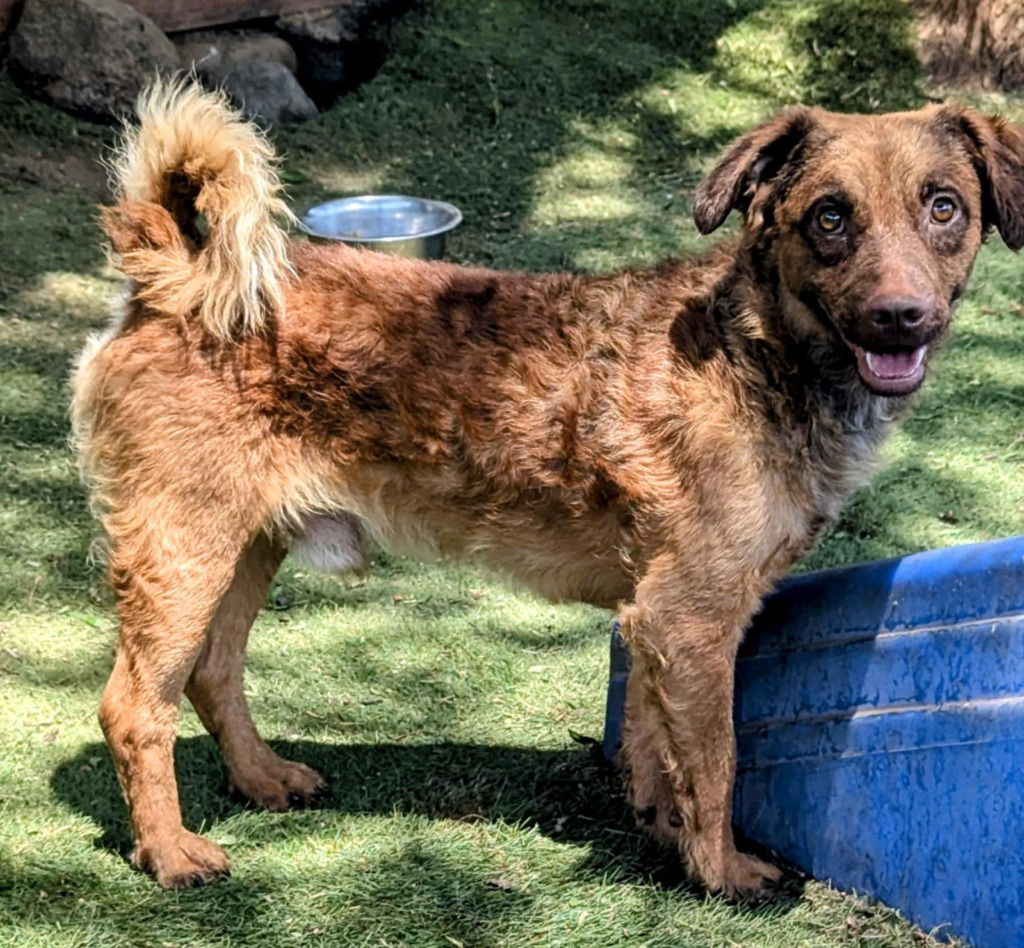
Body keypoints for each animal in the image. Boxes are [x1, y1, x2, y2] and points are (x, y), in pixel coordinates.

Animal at [72, 83, 1024, 896]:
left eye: (944, 206)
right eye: (830, 217)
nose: (902, 318)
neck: (756, 350)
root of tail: (170, 276)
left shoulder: (654, 620)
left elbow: (655, 745)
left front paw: (663, 835)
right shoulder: (690, 616)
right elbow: (717, 762)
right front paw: (723, 873)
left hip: (244, 547)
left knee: (212, 674)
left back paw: (263, 778)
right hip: (182, 556)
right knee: (133, 706)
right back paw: (169, 853)